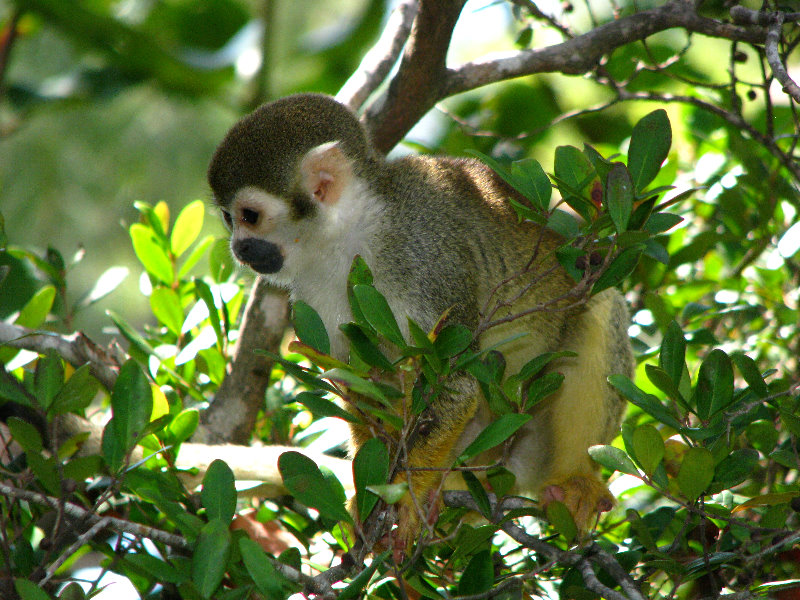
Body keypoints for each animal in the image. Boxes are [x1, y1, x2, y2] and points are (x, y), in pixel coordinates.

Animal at [209, 96, 636, 552]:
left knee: (600, 305)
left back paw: (574, 478)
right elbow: (360, 383)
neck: (350, 238)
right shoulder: (312, 298)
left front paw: (404, 494)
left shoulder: (426, 257)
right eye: (229, 219)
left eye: (250, 216)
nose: (239, 247)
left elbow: (456, 380)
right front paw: (371, 496)